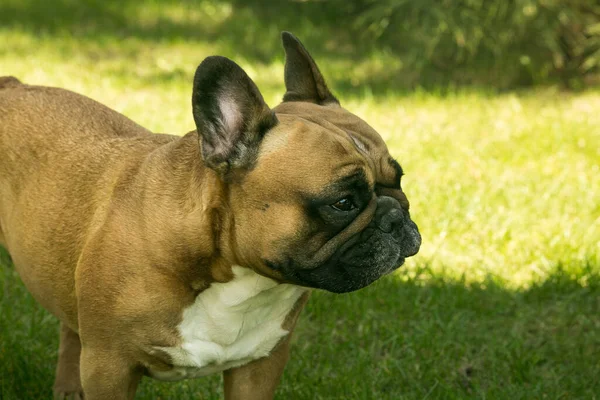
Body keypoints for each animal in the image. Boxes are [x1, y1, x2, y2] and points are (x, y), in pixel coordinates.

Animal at [0, 32, 422, 398]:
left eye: (400, 180)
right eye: (343, 203)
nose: (396, 217)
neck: (235, 274)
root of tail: (13, 84)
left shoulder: (260, 365)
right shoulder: (109, 367)